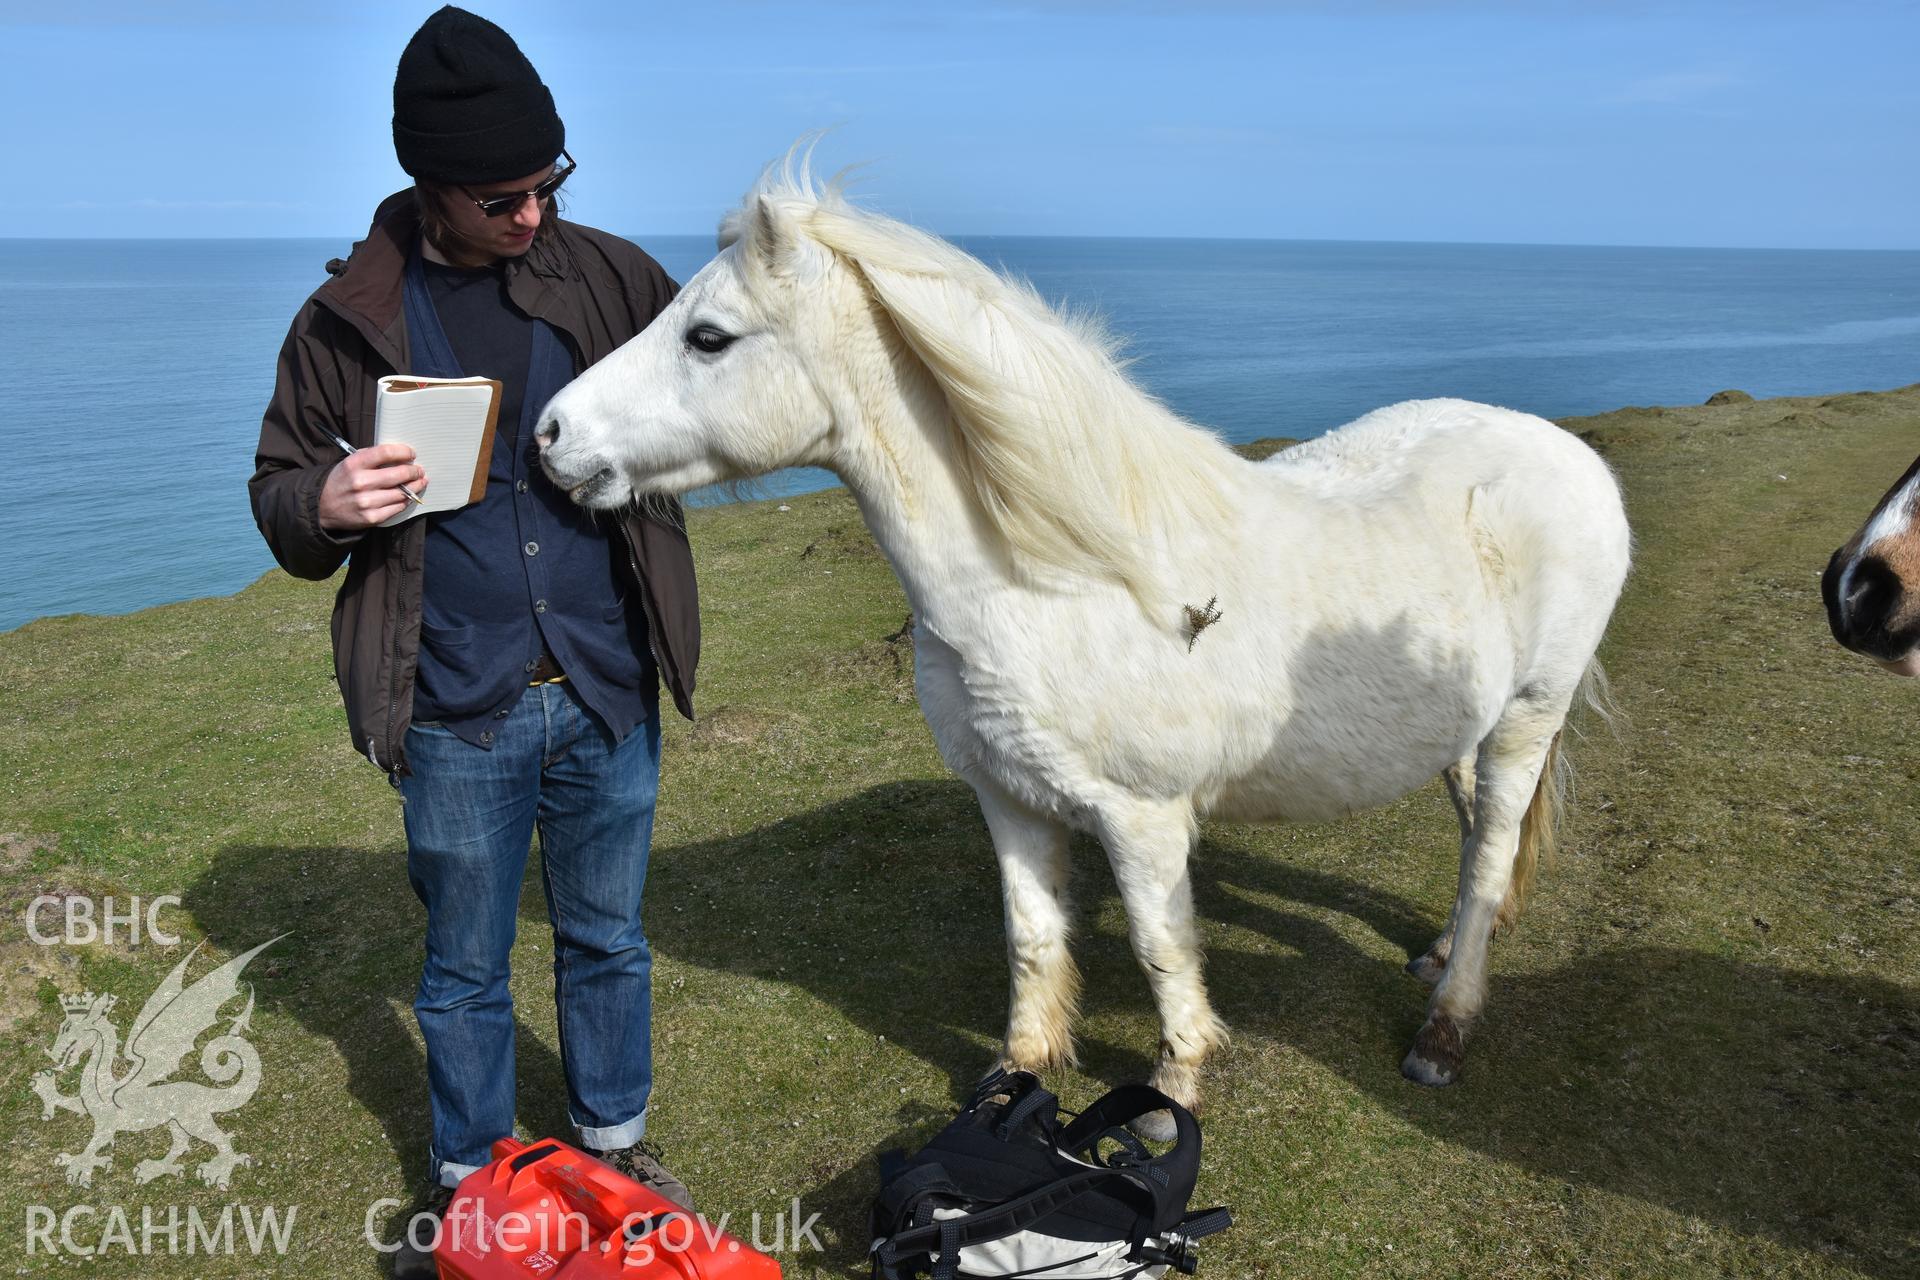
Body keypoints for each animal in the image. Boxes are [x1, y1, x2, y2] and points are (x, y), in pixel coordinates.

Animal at [533, 163, 1628, 1128]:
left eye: (708, 338)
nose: (548, 434)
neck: (1056, 581)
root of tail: (1564, 453)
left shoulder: (1142, 821)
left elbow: (1157, 944)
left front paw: (1175, 1086)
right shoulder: (1009, 796)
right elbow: (1031, 934)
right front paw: (1019, 1068)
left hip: (1528, 717)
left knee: (1490, 855)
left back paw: (1444, 1029)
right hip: (1464, 729)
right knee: (1478, 841)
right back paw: (1441, 957)